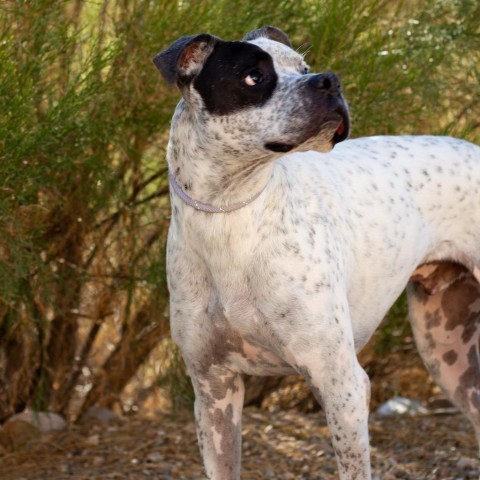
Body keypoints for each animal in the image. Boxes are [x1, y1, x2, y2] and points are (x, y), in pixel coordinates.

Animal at [154, 27, 480, 480]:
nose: (330, 81)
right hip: (450, 355)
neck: (232, 215)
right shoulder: (213, 391)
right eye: (253, 76)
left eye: (304, 67)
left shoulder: (342, 383)